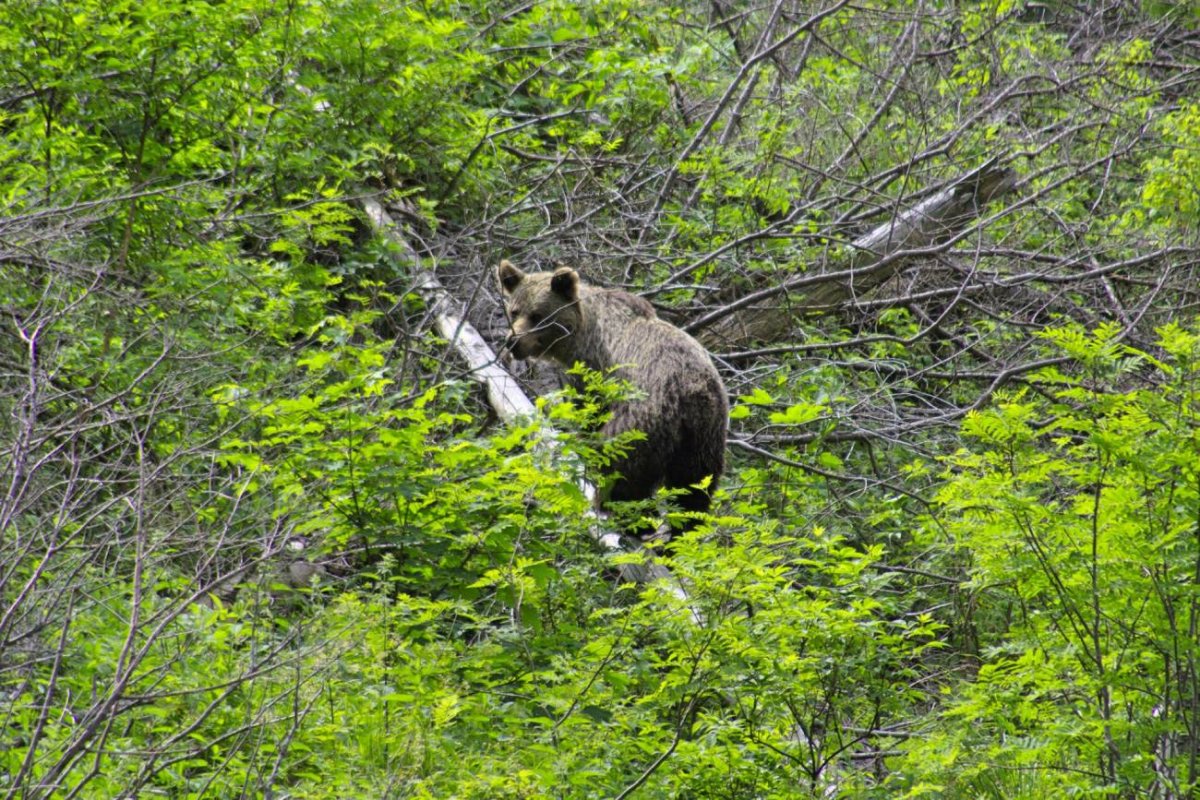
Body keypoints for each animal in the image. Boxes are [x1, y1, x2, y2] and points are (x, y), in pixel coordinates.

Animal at [494, 262, 724, 537]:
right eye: (514, 311)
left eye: (538, 315)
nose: (513, 341)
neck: (579, 332)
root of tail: (690, 392)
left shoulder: (592, 366)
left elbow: (588, 411)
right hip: (704, 435)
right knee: (694, 487)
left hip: (644, 418)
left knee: (621, 464)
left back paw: (618, 510)